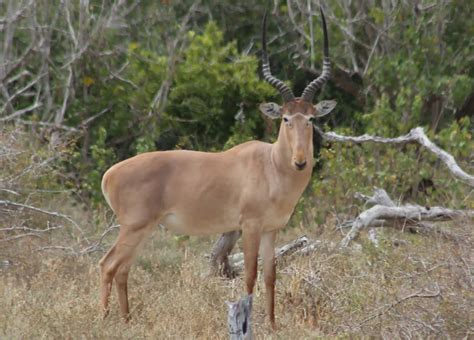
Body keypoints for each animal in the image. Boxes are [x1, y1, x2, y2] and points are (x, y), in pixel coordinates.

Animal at [98, 6, 336, 328]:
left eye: (310, 118)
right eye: (286, 118)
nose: (300, 161)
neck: (271, 164)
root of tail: (109, 174)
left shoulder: (271, 230)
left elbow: (271, 276)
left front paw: (274, 326)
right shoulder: (249, 227)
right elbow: (249, 276)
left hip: (143, 230)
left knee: (123, 269)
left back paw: (126, 320)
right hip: (133, 228)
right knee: (107, 265)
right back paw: (103, 319)